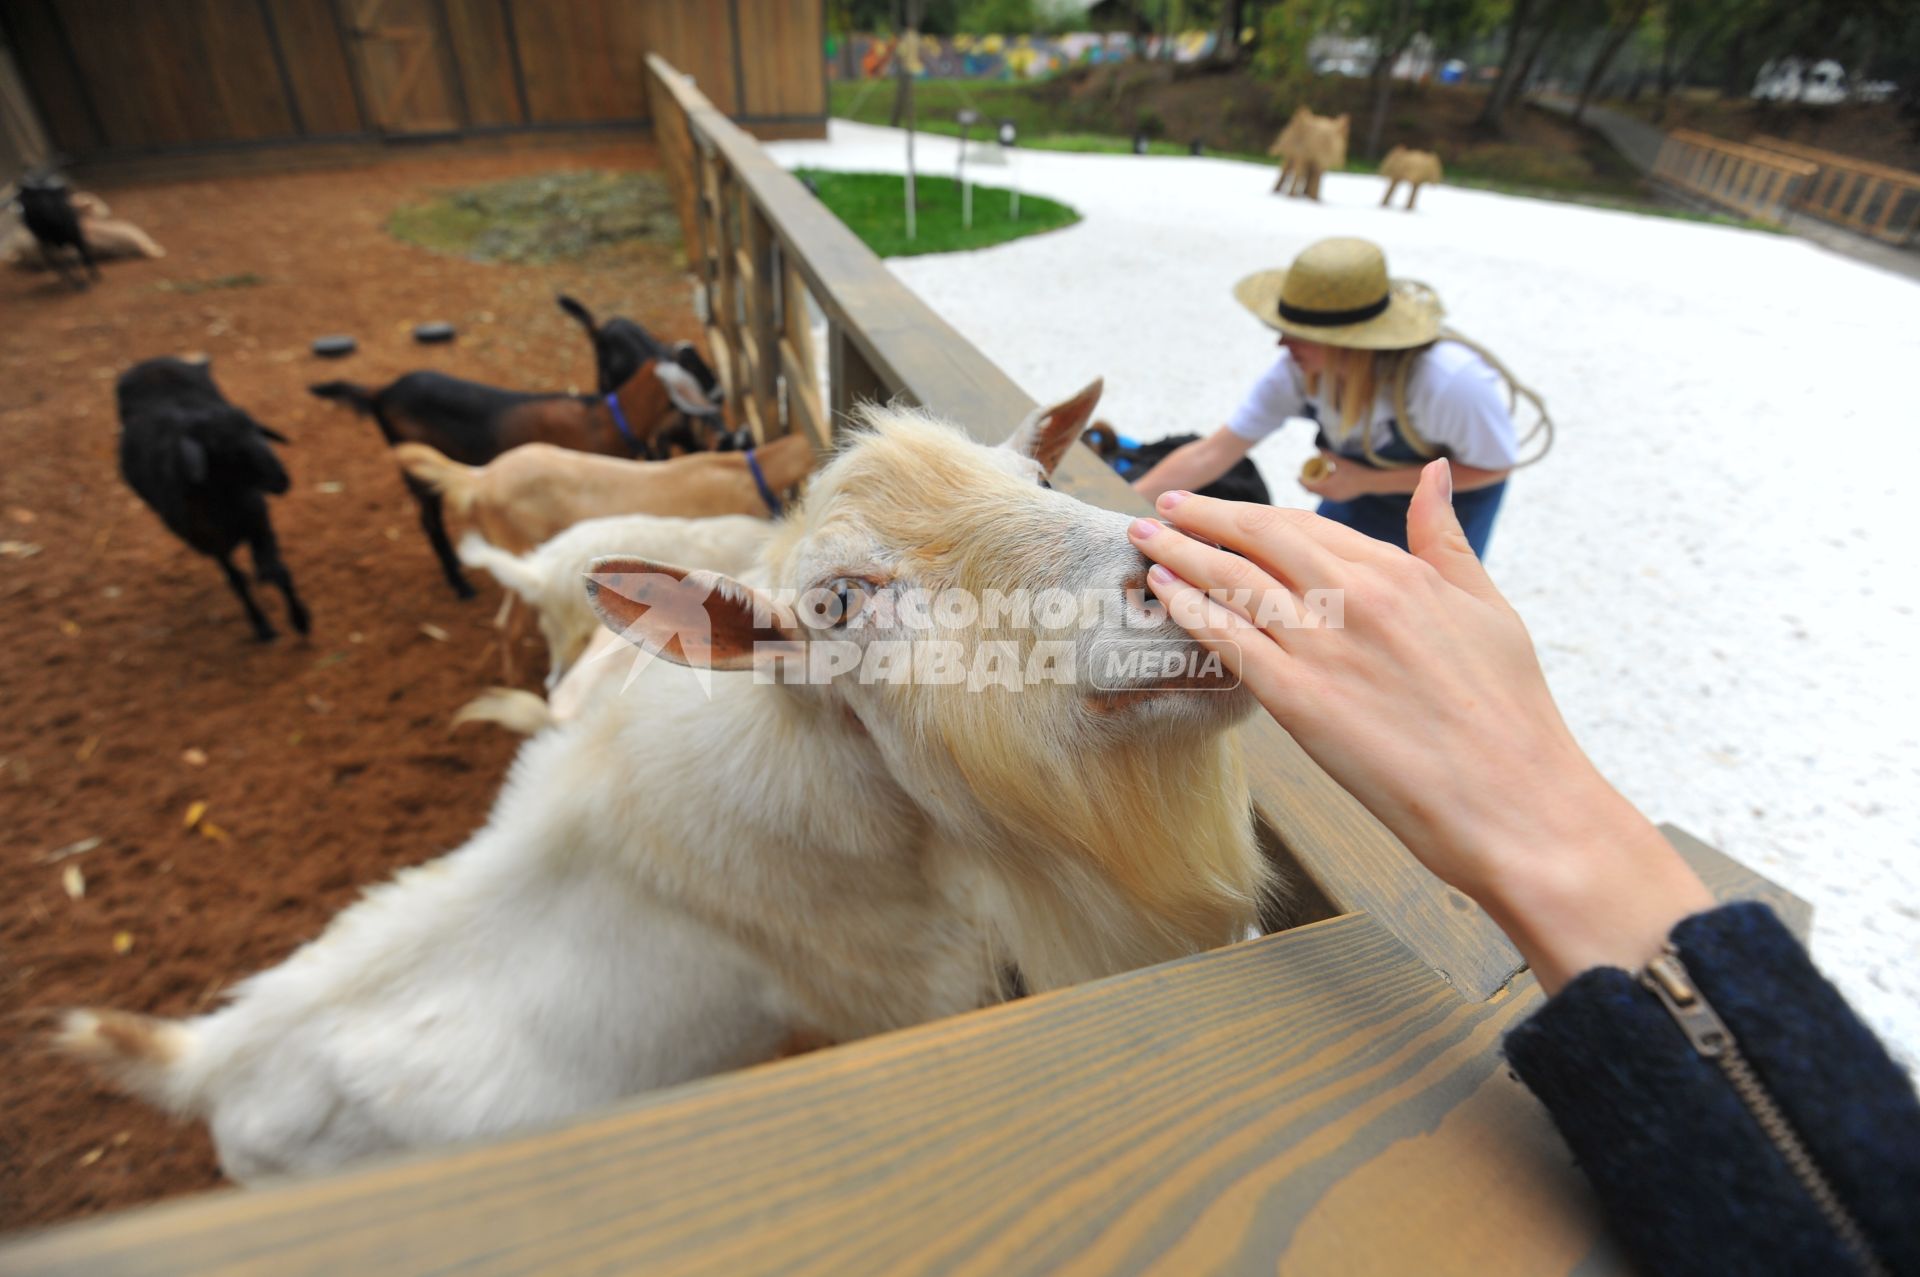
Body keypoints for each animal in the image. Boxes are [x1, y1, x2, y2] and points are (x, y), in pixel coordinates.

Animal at [119, 355, 307, 637]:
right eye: (222, 448)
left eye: (255, 430)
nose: (282, 478)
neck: (225, 499)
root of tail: (147, 363)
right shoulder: (211, 545)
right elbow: (237, 581)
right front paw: (262, 626)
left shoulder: (259, 521)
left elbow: (275, 570)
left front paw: (301, 620)